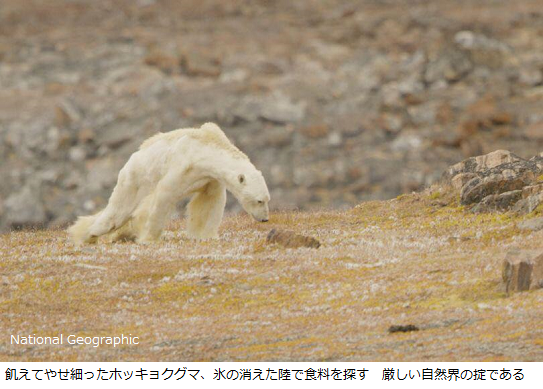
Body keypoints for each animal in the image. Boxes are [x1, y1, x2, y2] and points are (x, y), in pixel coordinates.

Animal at [69, 122, 270, 242]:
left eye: (267, 200)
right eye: (259, 200)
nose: (265, 219)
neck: (206, 148)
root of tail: (129, 160)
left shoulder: (209, 178)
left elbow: (209, 202)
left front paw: (206, 236)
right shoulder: (182, 164)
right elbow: (164, 195)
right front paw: (149, 237)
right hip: (134, 180)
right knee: (116, 213)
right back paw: (88, 235)